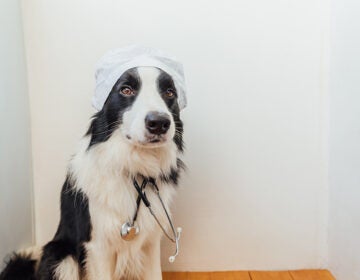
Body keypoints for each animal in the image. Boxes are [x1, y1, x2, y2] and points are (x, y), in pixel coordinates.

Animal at [0, 66, 184, 280]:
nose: (159, 123)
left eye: (169, 93)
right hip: (62, 257)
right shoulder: (98, 246)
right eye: (126, 90)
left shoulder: (151, 241)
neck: (132, 167)